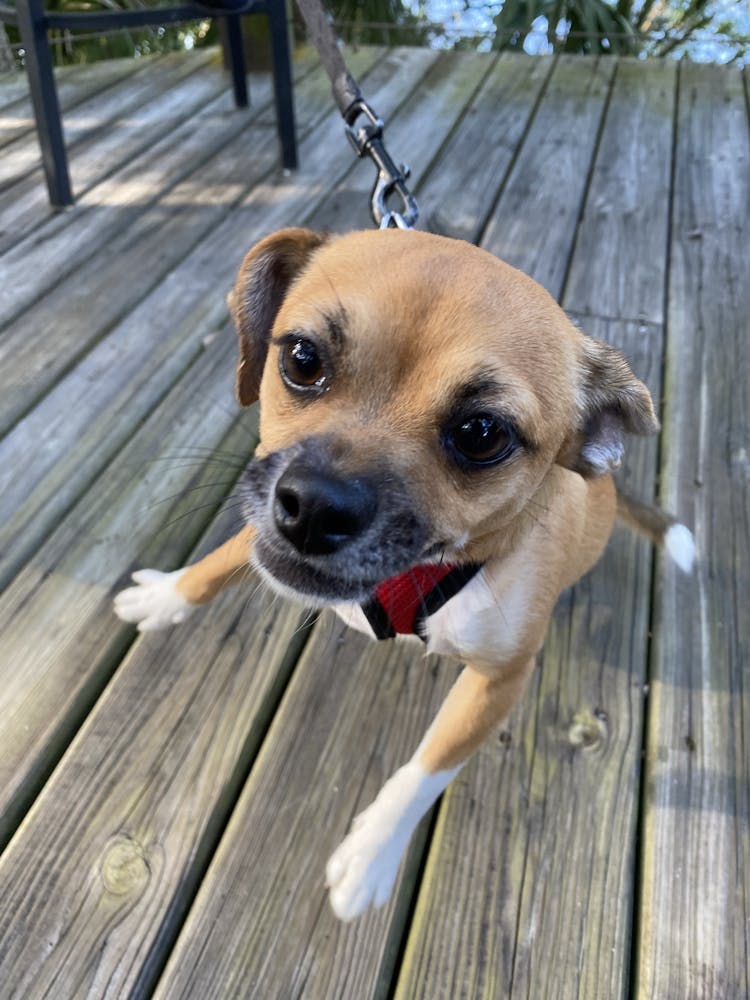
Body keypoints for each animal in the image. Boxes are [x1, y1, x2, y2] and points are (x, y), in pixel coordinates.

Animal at [114, 227, 696, 920]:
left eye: (481, 433)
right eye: (302, 359)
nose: (315, 507)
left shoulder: (499, 681)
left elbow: (427, 767)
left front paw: (371, 855)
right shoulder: (259, 529)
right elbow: (219, 561)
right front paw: (168, 597)